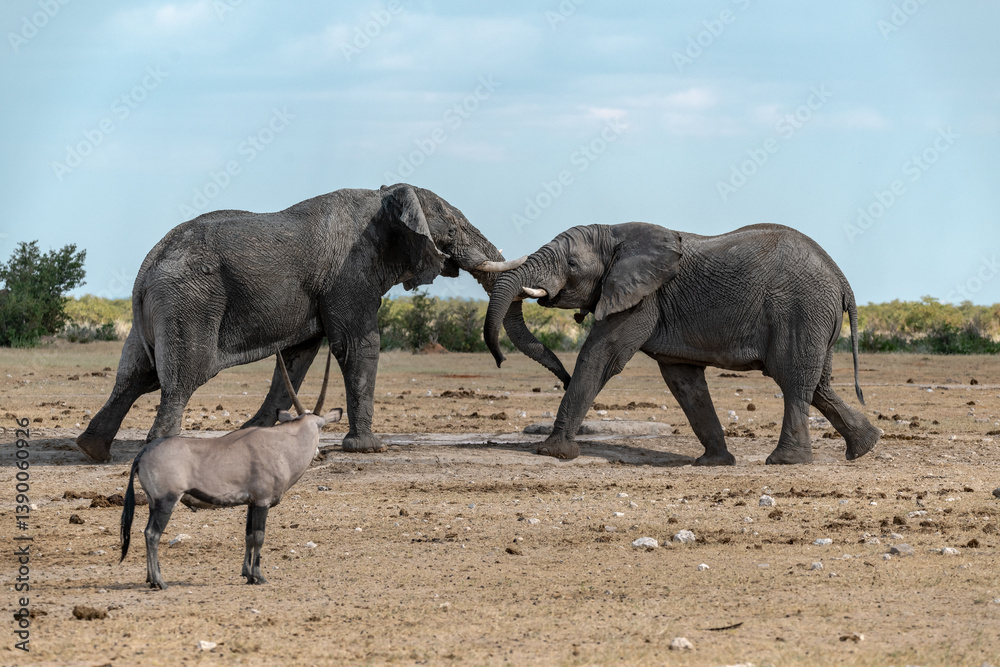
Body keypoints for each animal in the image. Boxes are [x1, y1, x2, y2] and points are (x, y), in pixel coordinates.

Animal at [76, 183, 570, 462]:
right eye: (452, 230)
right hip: (189, 303)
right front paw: (367, 449)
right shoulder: (350, 274)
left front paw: (259, 433)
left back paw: (92, 450)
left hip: (159, 309)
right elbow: (358, 344)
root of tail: (147, 269)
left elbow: (297, 357)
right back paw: (156, 452)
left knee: (135, 375)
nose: (563, 381)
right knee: (180, 379)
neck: (384, 195)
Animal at [484, 222, 881, 465]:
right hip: (815, 319)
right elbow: (683, 381)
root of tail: (842, 279)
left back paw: (785, 461)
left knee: (795, 381)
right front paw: (713, 463)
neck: (615, 232)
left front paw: (552, 453)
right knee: (819, 385)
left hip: (800, 311)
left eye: (571, 263)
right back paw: (865, 447)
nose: (500, 361)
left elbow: (601, 357)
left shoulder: (642, 299)